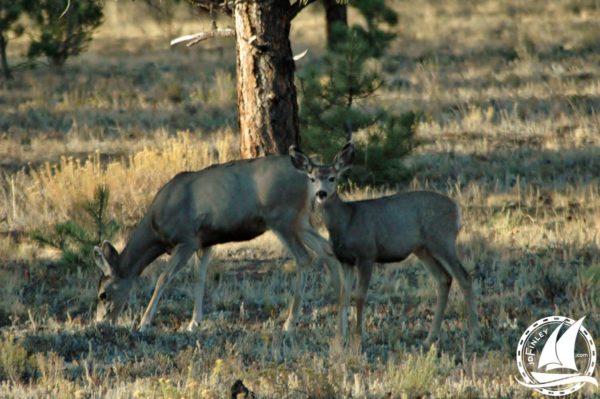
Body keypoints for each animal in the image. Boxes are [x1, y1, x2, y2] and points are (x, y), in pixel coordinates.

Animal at [92, 155, 342, 332]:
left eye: (103, 294)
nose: (99, 322)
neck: (156, 232)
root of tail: (309, 177)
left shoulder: (187, 239)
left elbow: (164, 277)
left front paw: (144, 323)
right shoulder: (205, 242)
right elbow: (199, 278)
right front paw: (194, 323)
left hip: (282, 217)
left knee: (305, 258)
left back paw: (290, 323)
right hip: (300, 220)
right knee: (327, 249)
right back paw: (340, 302)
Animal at [288, 144, 480, 346]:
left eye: (332, 177)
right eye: (312, 178)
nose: (321, 194)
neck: (346, 221)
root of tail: (456, 209)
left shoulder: (366, 254)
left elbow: (360, 295)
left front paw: (359, 336)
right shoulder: (345, 260)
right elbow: (343, 296)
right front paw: (340, 338)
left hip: (442, 240)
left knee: (464, 277)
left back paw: (474, 335)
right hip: (423, 249)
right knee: (444, 279)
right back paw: (429, 338)